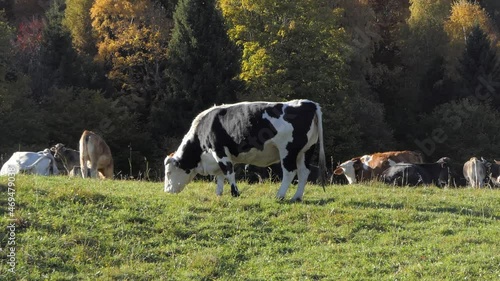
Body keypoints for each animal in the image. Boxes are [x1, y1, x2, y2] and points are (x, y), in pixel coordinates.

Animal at [164, 99, 328, 200]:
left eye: (168, 172)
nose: (166, 191)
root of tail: (308, 103)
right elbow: (220, 176)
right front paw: (219, 193)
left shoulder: (220, 151)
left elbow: (228, 173)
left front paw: (235, 193)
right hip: (306, 151)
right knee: (303, 172)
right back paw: (297, 197)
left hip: (288, 150)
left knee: (289, 172)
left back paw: (280, 195)